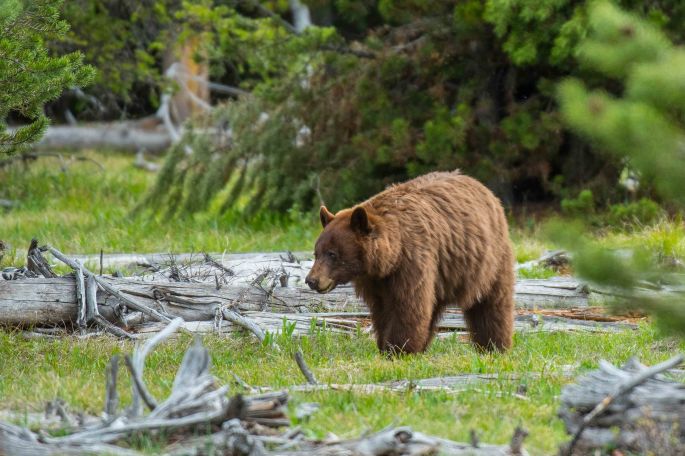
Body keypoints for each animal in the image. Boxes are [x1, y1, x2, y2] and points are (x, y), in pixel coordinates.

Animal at [305, 170, 515, 354]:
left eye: (332, 254)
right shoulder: (377, 282)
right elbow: (382, 310)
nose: (311, 280)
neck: (389, 258)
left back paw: (494, 346)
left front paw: (398, 349)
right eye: (316, 253)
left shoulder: (413, 262)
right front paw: (385, 346)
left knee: (490, 303)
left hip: (488, 261)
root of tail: (484, 189)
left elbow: (408, 307)